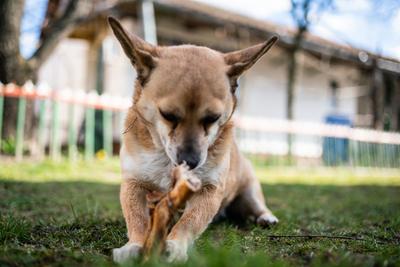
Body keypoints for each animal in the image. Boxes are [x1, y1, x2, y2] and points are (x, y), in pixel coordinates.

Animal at [108, 16, 280, 264]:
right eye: (168, 115)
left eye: (213, 118)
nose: (190, 162)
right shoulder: (133, 185)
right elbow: (137, 219)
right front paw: (133, 245)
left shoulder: (208, 191)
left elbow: (189, 221)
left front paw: (175, 246)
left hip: (250, 191)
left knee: (257, 206)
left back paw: (266, 217)